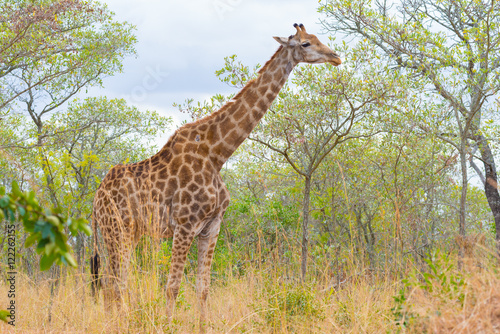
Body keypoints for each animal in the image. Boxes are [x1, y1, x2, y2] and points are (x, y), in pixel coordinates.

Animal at [89, 22, 340, 328]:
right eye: (305, 43)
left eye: (317, 38)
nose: (336, 57)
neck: (217, 153)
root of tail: (95, 201)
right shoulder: (185, 225)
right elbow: (172, 286)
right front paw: (168, 326)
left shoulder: (212, 226)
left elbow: (203, 287)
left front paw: (202, 325)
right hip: (117, 231)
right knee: (115, 284)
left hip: (123, 233)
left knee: (111, 285)